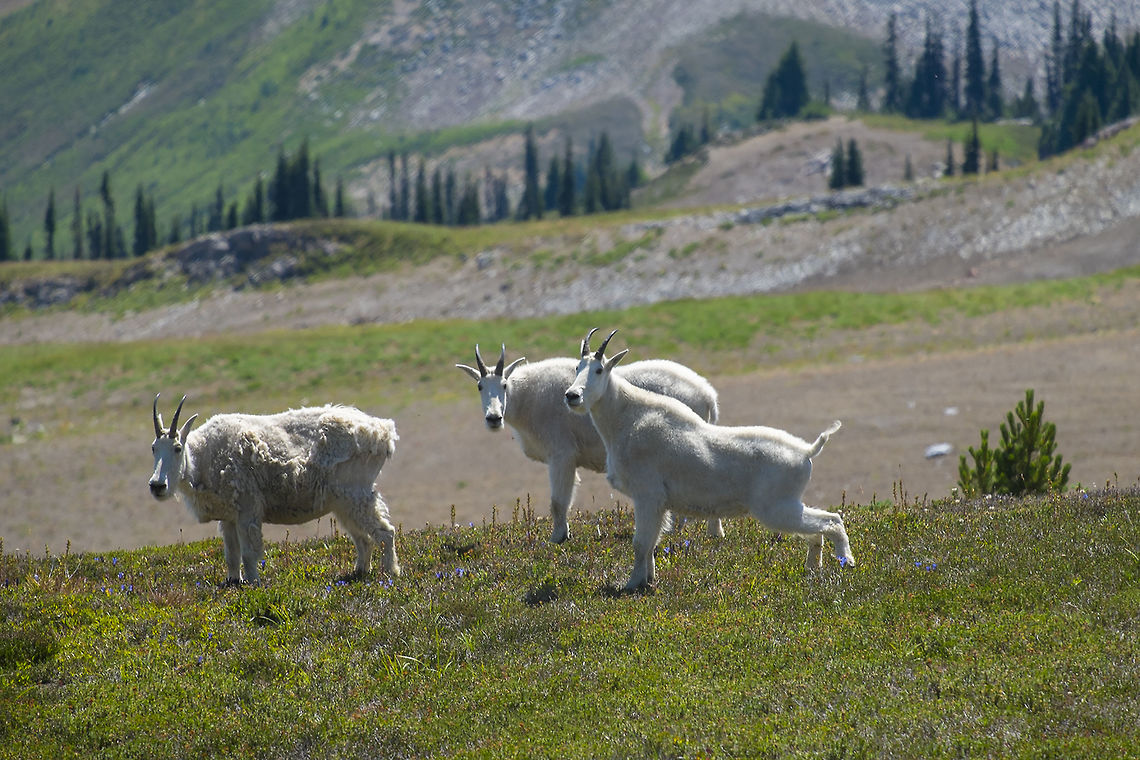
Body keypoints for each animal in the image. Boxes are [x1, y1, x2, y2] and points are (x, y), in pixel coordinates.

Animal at [149, 395, 401, 585]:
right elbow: (231, 555)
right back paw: (360, 572)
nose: (157, 485)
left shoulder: (248, 509)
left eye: (177, 448)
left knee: (385, 532)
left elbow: (249, 554)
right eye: (153, 448)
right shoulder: (228, 517)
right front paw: (234, 582)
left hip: (355, 494)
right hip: (342, 503)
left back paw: (390, 573)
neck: (204, 457)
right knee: (363, 538)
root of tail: (383, 432)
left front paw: (254, 584)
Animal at [456, 336, 723, 543]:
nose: (493, 418)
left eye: (503, 384)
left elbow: (558, 501)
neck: (526, 398)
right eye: (479, 386)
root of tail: (709, 395)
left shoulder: (561, 454)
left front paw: (558, 538)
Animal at [564, 330, 854, 591]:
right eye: (578, 366)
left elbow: (640, 543)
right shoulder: (656, 503)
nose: (572, 396)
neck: (624, 418)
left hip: (776, 507)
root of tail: (806, 451)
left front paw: (632, 584)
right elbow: (651, 544)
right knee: (820, 528)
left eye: (599, 369)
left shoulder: (648, 495)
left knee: (832, 521)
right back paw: (813, 568)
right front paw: (648, 579)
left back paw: (847, 561)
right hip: (786, 505)